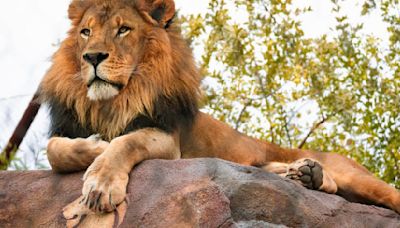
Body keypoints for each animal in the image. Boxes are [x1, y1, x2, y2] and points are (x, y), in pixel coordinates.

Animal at [39, 0, 398, 222]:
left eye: (123, 29)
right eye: (86, 32)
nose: (92, 57)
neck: (113, 101)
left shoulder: (167, 138)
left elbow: (125, 143)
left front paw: (100, 183)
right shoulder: (66, 129)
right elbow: (54, 150)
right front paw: (95, 145)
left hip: (362, 179)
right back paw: (306, 174)